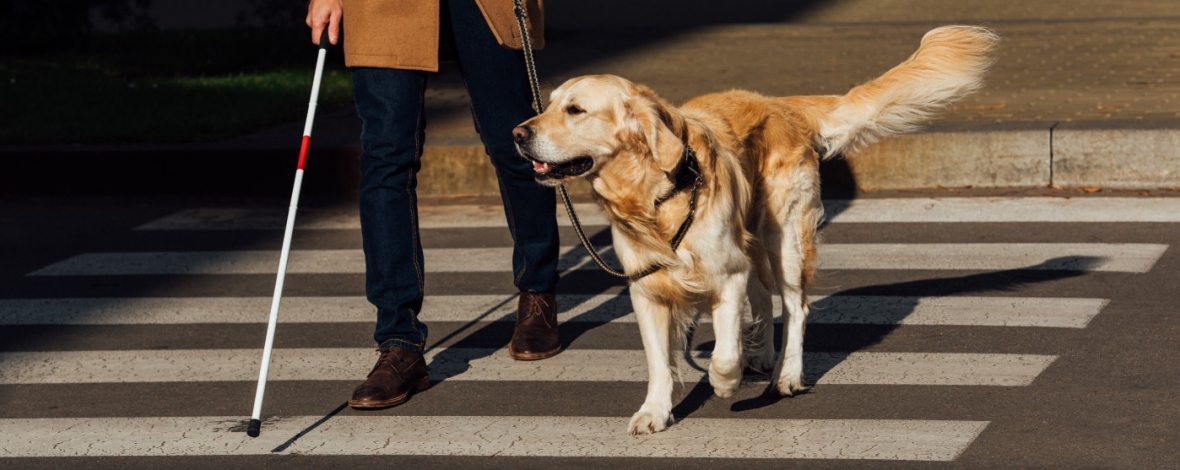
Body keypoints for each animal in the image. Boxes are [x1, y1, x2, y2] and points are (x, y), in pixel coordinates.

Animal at [512, 25, 1000, 434]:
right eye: (548, 105)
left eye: (575, 110)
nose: (517, 133)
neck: (655, 195)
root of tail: (780, 104)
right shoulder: (647, 289)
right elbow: (658, 361)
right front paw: (654, 411)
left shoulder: (725, 274)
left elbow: (725, 352)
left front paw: (724, 382)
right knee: (765, 298)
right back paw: (764, 355)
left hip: (784, 238)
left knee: (795, 307)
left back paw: (786, 375)